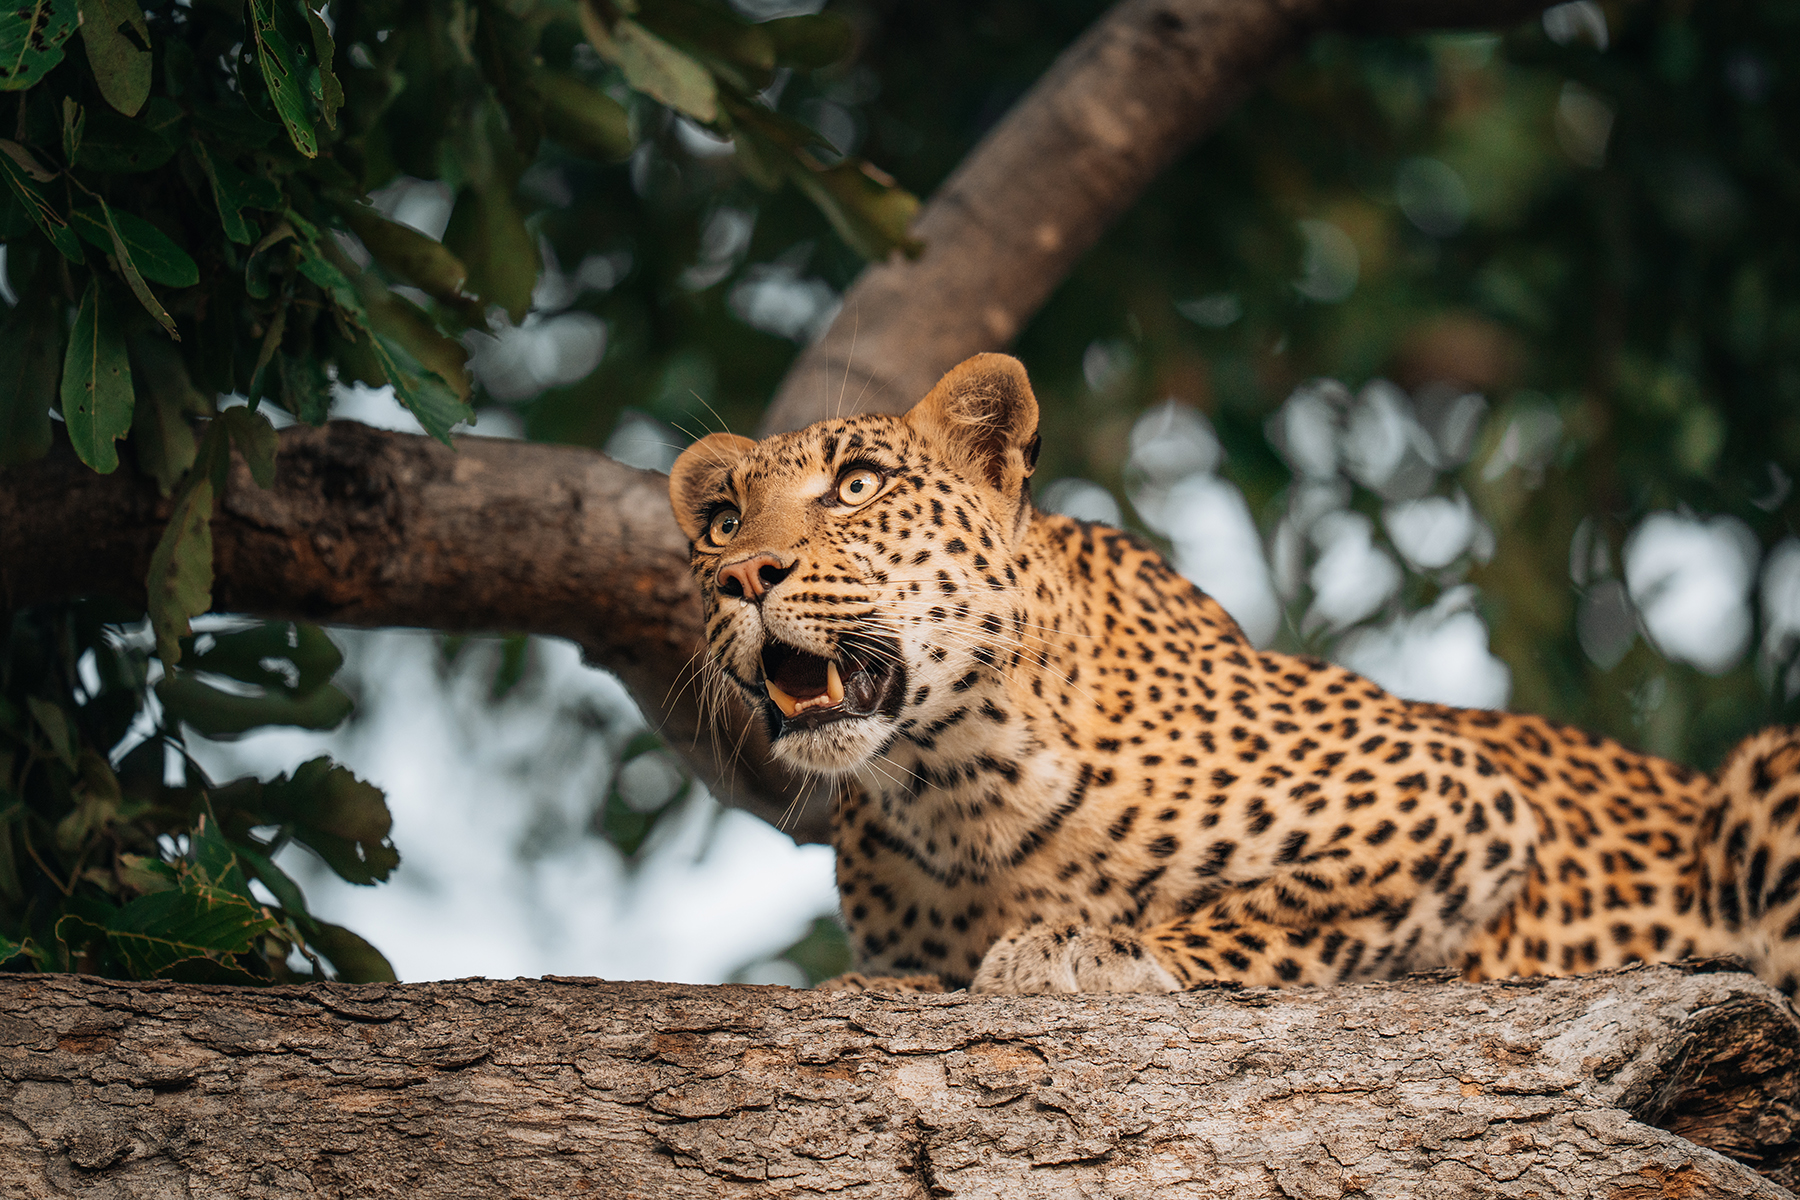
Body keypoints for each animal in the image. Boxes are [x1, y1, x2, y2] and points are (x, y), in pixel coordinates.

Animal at [668, 352, 1800, 995]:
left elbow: (1269, 908)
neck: (952, 790)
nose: (741, 575)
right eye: (722, 521)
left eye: (858, 485)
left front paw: (1086, 946)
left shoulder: (1451, 798)